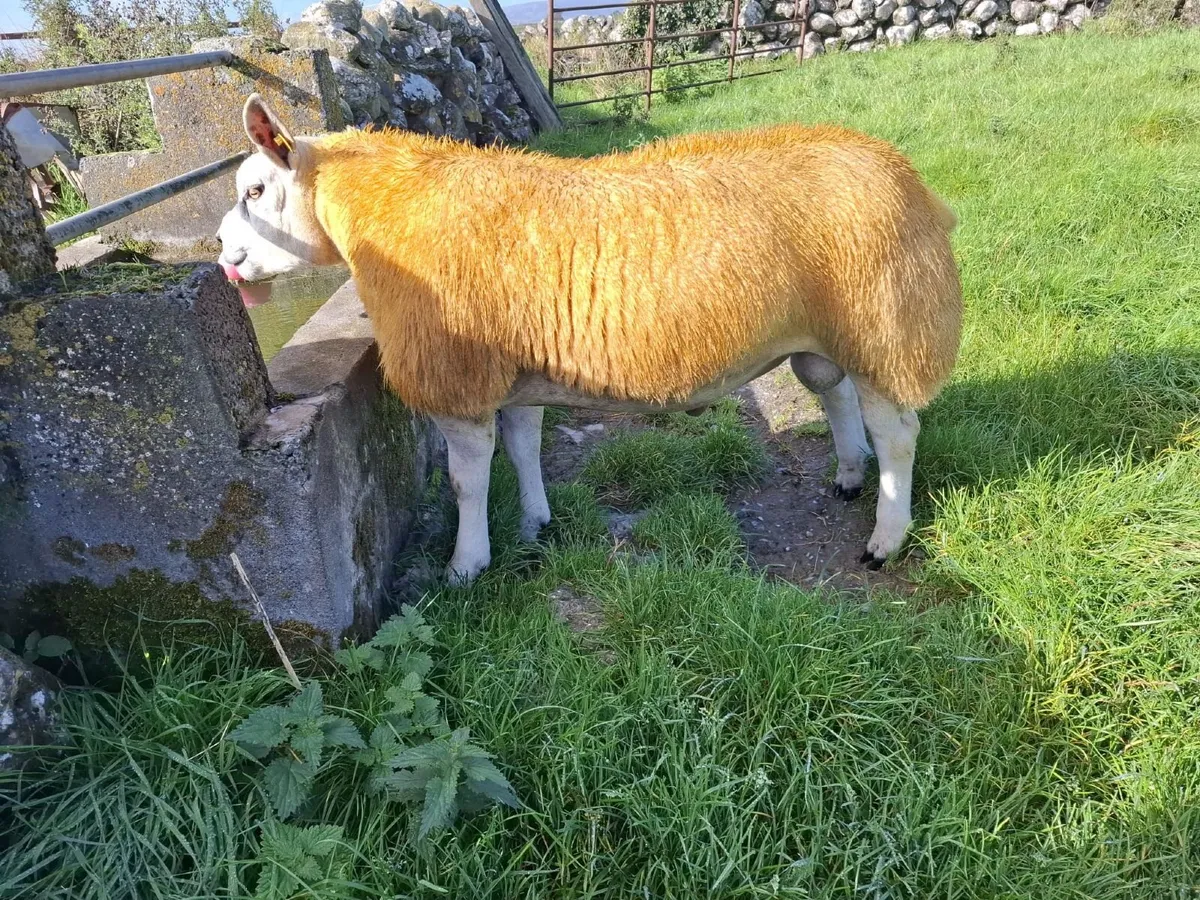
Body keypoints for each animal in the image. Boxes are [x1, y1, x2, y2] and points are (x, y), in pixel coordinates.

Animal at [217, 94, 963, 584]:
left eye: (255, 189)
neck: (383, 209)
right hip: (824, 334)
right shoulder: (512, 376)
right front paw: (535, 526)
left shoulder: (460, 382)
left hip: (886, 323)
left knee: (898, 433)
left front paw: (466, 565)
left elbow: (465, 482)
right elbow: (523, 450)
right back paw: (848, 474)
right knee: (836, 397)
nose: (223, 254)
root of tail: (910, 178)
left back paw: (884, 538)